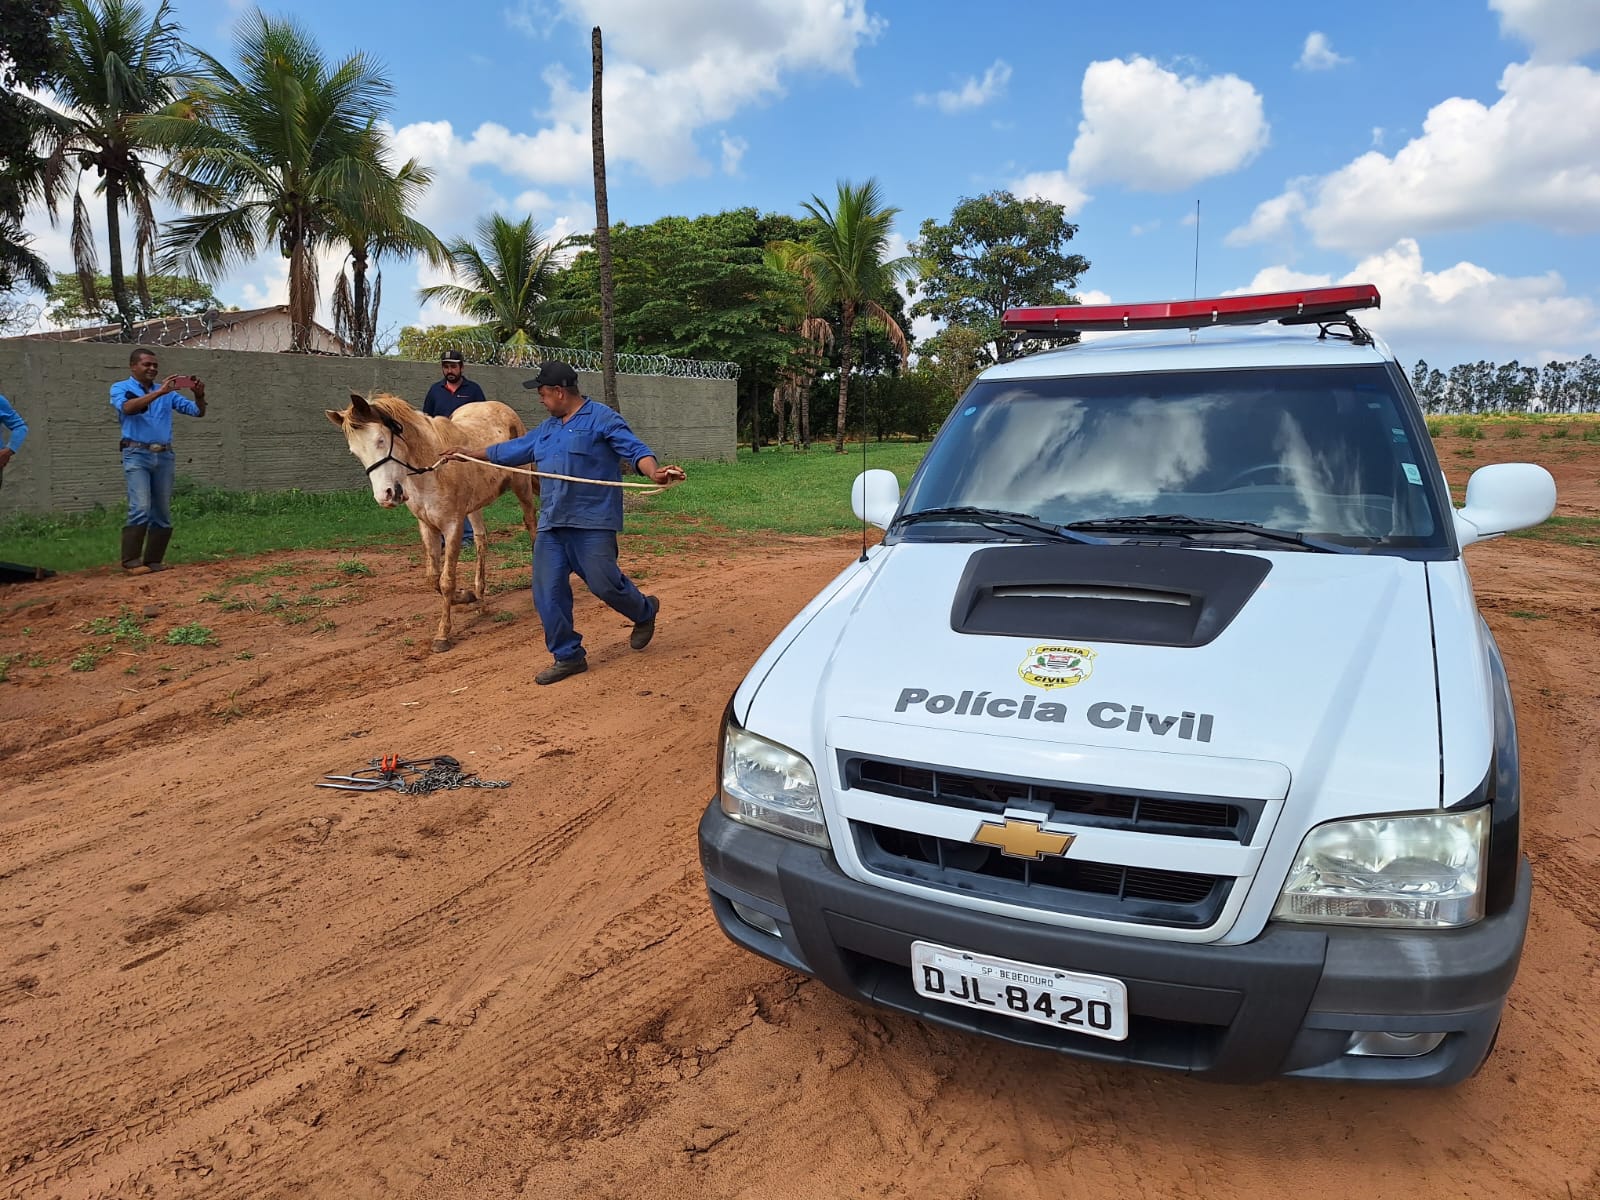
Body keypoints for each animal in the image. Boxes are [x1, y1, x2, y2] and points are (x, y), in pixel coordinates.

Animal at [328, 395, 540, 652]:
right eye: (355, 451)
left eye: (380, 440)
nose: (385, 496)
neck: (431, 467)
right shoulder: (427, 526)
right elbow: (432, 578)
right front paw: (466, 596)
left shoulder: (452, 526)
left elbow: (446, 580)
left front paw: (442, 635)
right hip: (475, 506)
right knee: (481, 539)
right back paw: (480, 599)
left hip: (522, 487)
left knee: (531, 526)